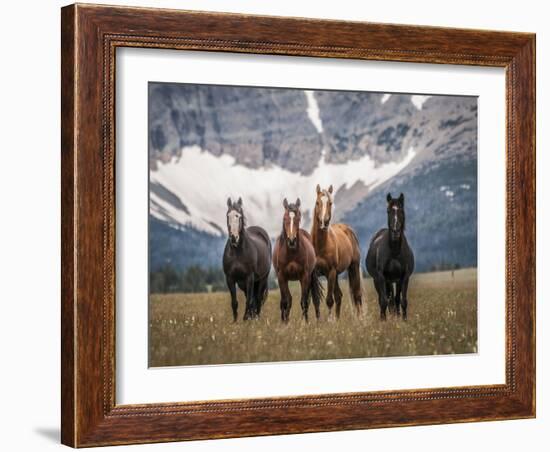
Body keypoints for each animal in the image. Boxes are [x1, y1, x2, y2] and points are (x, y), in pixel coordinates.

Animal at [312, 185, 364, 320]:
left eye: (330, 203)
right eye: (317, 202)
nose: (324, 222)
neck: (320, 245)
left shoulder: (331, 271)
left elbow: (329, 300)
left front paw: (330, 320)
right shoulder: (313, 274)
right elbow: (315, 300)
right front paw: (318, 321)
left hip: (353, 267)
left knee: (357, 294)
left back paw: (360, 319)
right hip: (335, 275)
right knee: (339, 296)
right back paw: (339, 319)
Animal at [368, 192, 416, 320]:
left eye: (401, 210)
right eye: (388, 211)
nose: (395, 231)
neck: (394, 251)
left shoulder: (404, 277)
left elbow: (402, 301)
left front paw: (403, 320)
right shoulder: (381, 277)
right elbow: (384, 301)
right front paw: (383, 320)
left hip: (394, 281)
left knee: (395, 299)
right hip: (380, 280)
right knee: (385, 299)